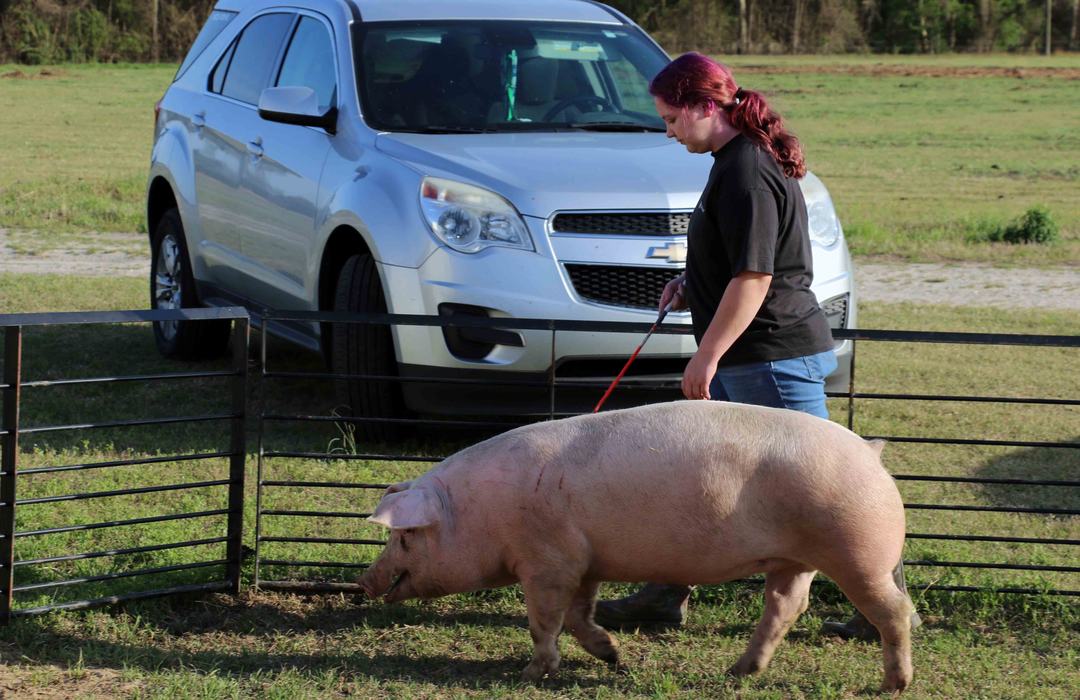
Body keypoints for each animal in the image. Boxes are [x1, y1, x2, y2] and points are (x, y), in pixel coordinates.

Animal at [357, 400, 914, 693]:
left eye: (404, 536)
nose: (364, 579)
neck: (480, 513)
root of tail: (869, 452)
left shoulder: (548, 560)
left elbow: (544, 620)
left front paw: (531, 673)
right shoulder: (584, 560)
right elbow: (579, 615)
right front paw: (614, 657)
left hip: (856, 550)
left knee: (894, 610)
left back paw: (893, 684)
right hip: (794, 559)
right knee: (785, 606)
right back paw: (737, 672)